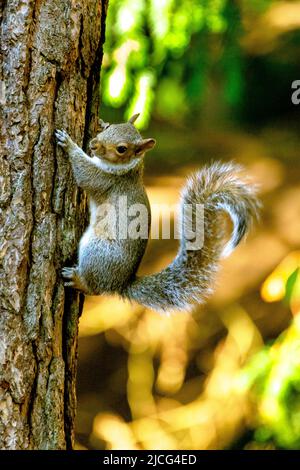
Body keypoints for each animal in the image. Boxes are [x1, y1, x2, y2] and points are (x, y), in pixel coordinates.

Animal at [55, 114, 258, 312]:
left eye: (122, 149)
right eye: (110, 127)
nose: (93, 144)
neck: (130, 168)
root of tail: (120, 284)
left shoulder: (106, 180)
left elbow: (84, 173)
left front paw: (68, 144)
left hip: (97, 252)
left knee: (94, 287)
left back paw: (77, 279)